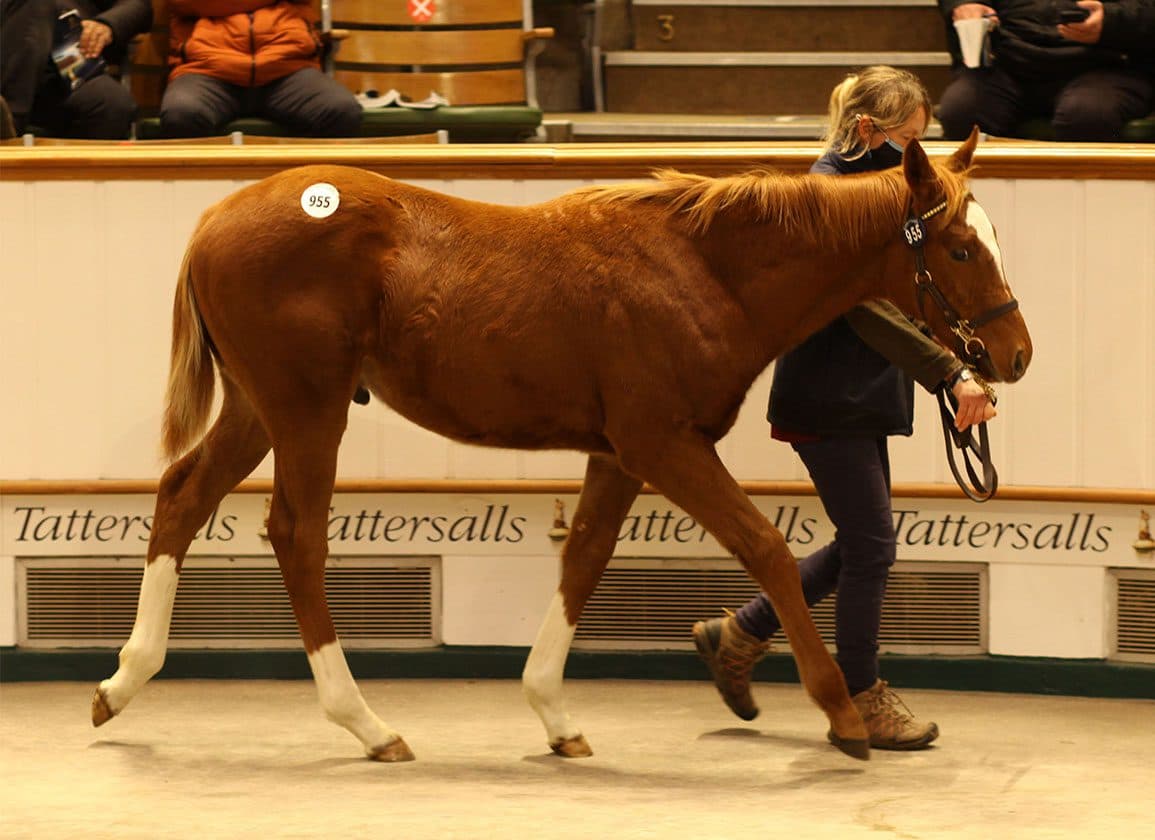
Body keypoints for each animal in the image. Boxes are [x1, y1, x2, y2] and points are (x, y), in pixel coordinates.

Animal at [91, 128, 1031, 763]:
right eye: (957, 247)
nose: (1012, 355)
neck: (703, 270)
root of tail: (216, 215)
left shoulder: (617, 453)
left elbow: (584, 557)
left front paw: (555, 715)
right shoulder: (662, 443)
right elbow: (763, 545)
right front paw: (840, 716)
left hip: (259, 409)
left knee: (182, 495)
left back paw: (120, 684)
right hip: (306, 410)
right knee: (295, 535)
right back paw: (368, 725)